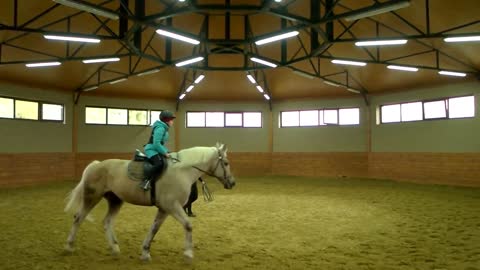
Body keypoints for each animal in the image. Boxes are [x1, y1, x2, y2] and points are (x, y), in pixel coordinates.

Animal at [63, 143, 236, 262]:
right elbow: (188, 225)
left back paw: (115, 248)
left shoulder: (165, 209)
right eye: (226, 163)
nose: (232, 183)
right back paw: (69, 246)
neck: (182, 171)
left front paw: (145, 252)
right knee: (78, 218)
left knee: (107, 222)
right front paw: (188, 253)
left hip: (115, 200)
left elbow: (154, 229)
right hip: (92, 197)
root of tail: (97, 165)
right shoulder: (172, 206)